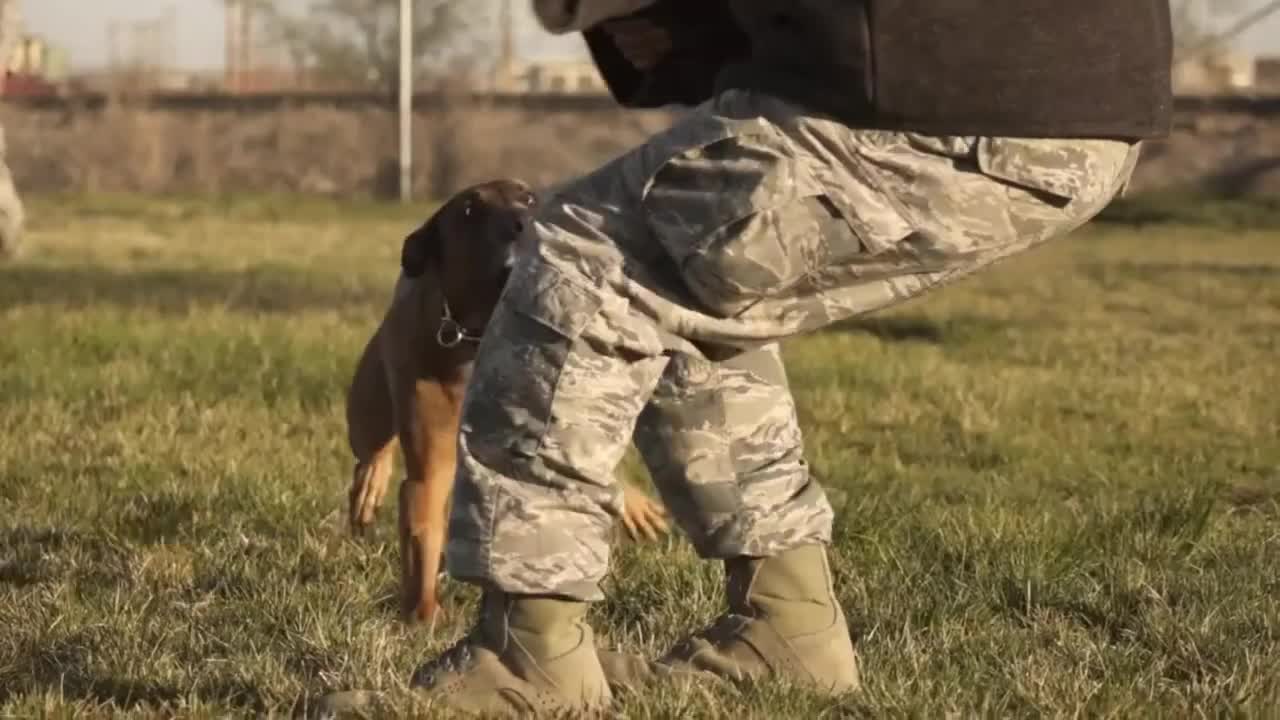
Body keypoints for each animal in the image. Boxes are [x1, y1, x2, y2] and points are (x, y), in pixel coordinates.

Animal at [345, 179, 675, 622]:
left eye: (529, 198)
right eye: (469, 211)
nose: (523, 221)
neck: (480, 335)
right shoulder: (428, 466)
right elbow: (422, 533)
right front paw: (424, 616)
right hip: (371, 400)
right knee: (372, 448)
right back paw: (370, 483)